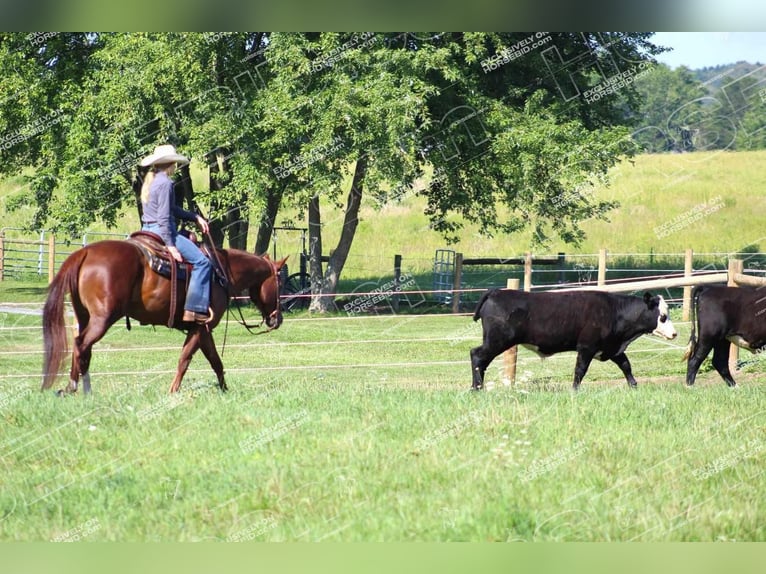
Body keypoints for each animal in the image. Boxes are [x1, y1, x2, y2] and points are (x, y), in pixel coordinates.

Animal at [39, 240, 284, 396]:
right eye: (280, 282)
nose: (278, 319)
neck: (220, 272)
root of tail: (85, 253)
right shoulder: (201, 328)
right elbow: (185, 359)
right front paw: (173, 391)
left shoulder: (203, 330)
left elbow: (215, 361)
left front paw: (225, 391)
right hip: (102, 319)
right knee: (81, 345)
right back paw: (73, 387)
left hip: (84, 317)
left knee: (82, 348)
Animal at [468, 288, 680, 392]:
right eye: (662, 316)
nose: (674, 333)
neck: (613, 311)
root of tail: (497, 292)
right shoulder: (587, 347)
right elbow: (580, 370)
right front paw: (575, 390)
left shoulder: (611, 348)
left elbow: (626, 365)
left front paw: (634, 386)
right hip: (497, 341)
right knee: (477, 356)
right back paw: (477, 388)